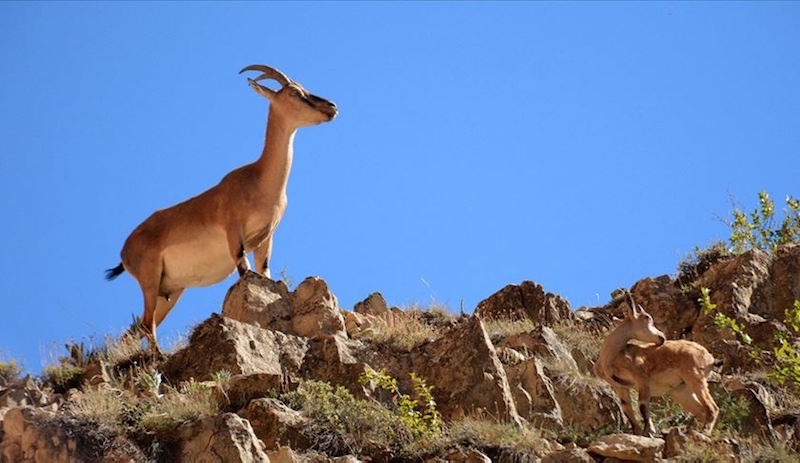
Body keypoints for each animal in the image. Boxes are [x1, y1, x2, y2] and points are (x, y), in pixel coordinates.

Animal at [104, 64, 336, 356]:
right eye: (294, 92)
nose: (331, 107)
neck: (259, 181)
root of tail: (124, 251)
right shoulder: (233, 232)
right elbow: (244, 271)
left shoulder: (266, 238)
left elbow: (264, 273)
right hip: (150, 279)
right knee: (146, 325)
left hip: (169, 291)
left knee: (136, 329)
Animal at [592, 294, 720, 438]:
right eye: (647, 318)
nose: (662, 337)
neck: (610, 358)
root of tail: (710, 357)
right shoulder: (620, 386)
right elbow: (627, 409)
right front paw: (638, 433)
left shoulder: (642, 379)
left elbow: (642, 406)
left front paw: (649, 431)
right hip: (681, 390)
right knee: (701, 411)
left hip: (695, 377)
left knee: (712, 407)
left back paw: (704, 432)